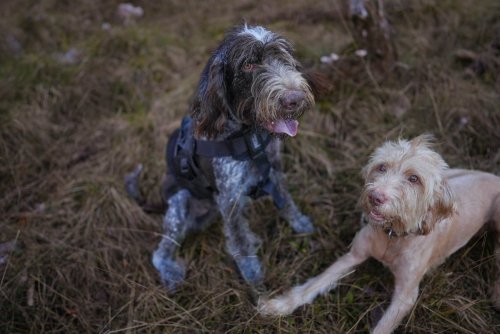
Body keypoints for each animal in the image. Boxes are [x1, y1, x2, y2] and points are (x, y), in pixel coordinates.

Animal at [146, 23, 320, 290]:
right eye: (248, 66)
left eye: (283, 58)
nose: (295, 99)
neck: (249, 134)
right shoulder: (229, 198)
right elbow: (239, 240)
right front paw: (252, 274)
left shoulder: (274, 168)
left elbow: (286, 201)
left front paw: (299, 222)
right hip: (180, 202)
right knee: (161, 251)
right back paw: (169, 272)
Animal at [258, 136, 500, 334]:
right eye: (381, 167)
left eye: (414, 179)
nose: (375, 197)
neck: (392, 236)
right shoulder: (353, 256)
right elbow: (314, 283)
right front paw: (277, 306)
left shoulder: (406, 296)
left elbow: (382, 327)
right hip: (454, 171)